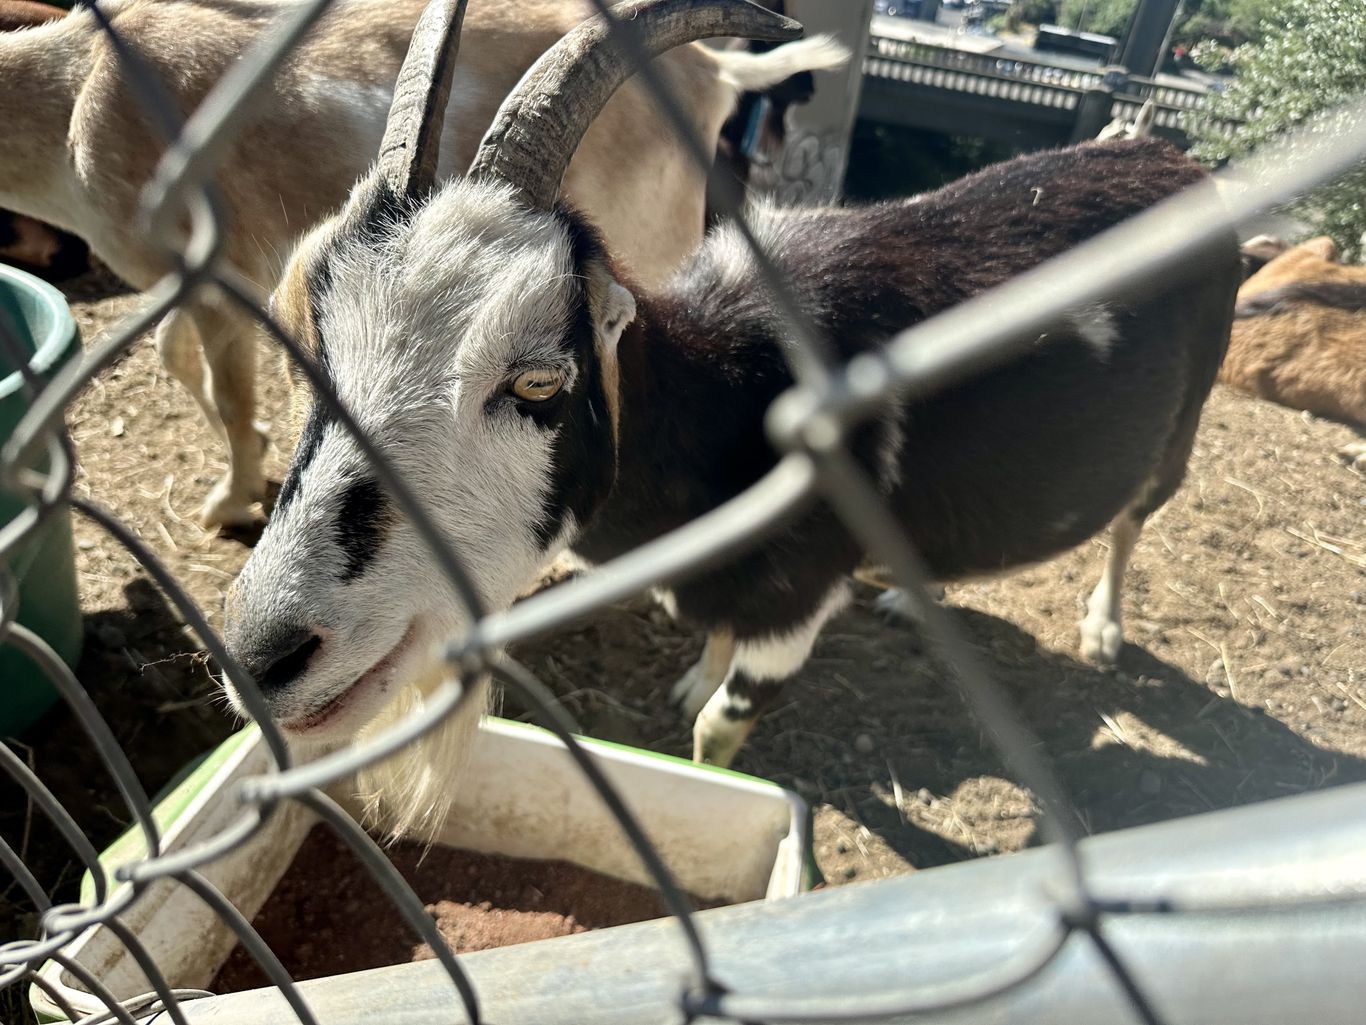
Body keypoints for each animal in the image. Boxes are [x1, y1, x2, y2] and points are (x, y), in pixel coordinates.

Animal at [0, 0, 845, 526]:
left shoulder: (212, 273)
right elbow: (175, 355)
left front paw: (231, 496)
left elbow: (224, 387)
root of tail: (719, 74)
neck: (78, 92)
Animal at [221, 0, 1240, 821]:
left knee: (1138, 513)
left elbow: (719, 729)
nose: (266, 655)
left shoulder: (796, 604)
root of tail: (1167, 153)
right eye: (308, 342)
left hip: (1186, 418)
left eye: (538, 381)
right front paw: (698, 667)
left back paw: (1102, 630)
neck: (742, 390)